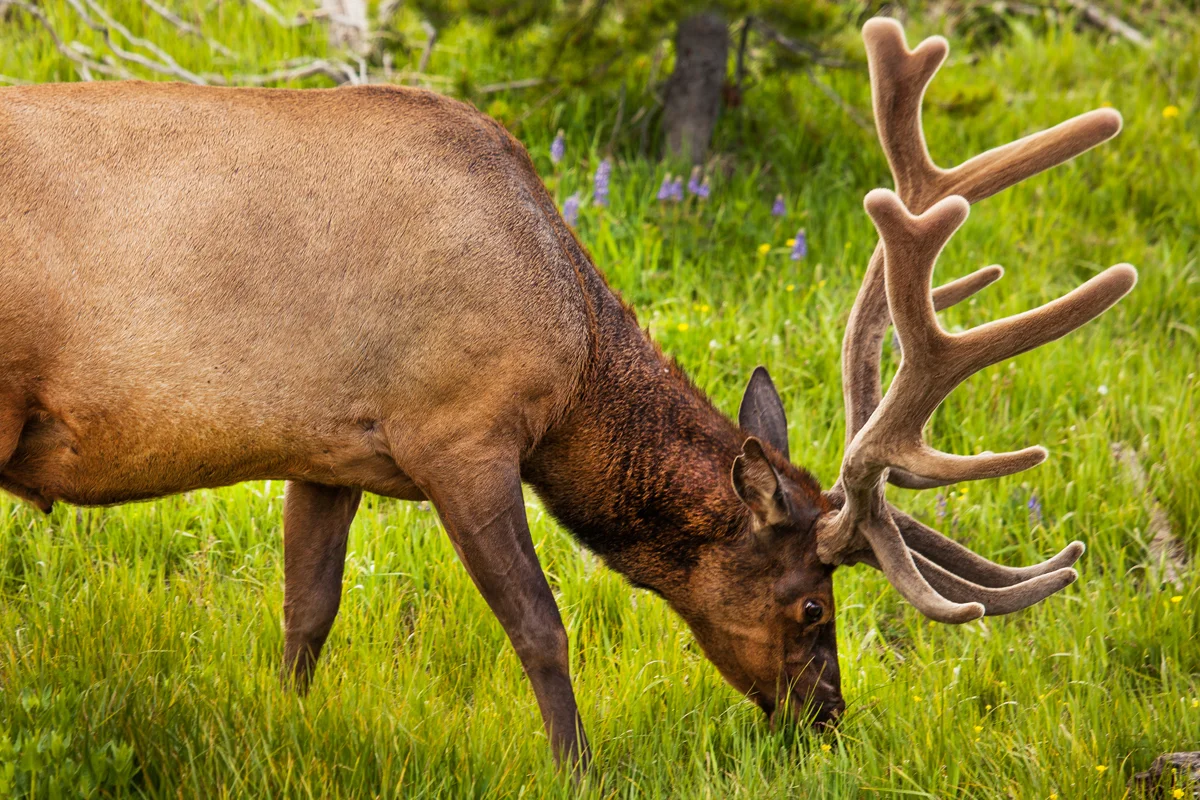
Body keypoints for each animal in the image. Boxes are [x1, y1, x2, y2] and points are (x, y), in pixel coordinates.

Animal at [0, 18, 1133, 770]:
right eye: (813, 601)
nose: (826, 720)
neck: (572, 341)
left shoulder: (328, 448)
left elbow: (305, 612)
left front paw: (287, 731)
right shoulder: (459, 433)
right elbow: (542, 626)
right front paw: (578, 766)